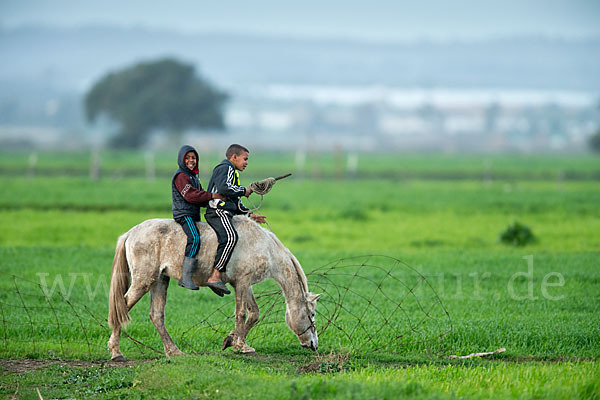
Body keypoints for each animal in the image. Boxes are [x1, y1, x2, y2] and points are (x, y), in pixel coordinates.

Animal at [109, 217, 322, 360]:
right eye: (311, 315)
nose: (314, 344)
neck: (265, 247)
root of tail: (131, 232)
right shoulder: (242, 283)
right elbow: (241, 314)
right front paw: (241, 346)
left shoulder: (244, 284)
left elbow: (254, 314)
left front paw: (231, 341)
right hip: (143, 281)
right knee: (122, 308)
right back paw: (116, 352)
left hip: (160, 281)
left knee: (156, 315)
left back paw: (173, 351)